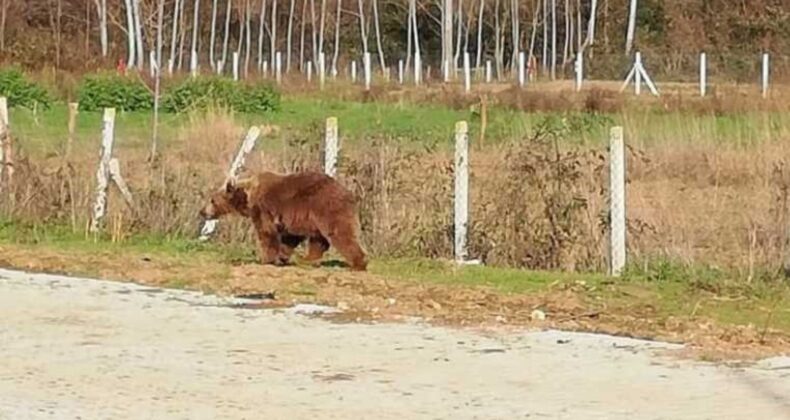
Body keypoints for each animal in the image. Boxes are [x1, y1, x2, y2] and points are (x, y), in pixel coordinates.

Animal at [200, 171, 370, 272]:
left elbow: (266, 232)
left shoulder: (263, 209)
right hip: (316, 216)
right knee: (318, 240)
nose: (202, 212)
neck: (247, 198)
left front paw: (266, 259)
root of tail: (349, 193)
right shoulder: (296, 218)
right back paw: (307, 260)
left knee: (340, 233)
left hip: (326, 207)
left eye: (212, 200)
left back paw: (358, 263)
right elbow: (290, 237)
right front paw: (281, 257)